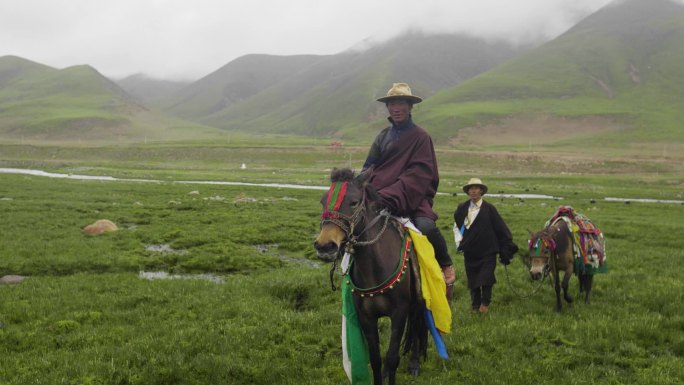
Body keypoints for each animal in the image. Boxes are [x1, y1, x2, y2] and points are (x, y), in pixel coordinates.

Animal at [314, 168, 428, 384]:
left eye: (354, 202)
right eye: (323, 201)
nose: (325, 245)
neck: (375, 269)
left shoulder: (399, 313)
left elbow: (392, 358)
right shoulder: (366, 317)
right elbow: (375, 359)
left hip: (418, 301)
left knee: (418, 324)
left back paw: (415, 364)